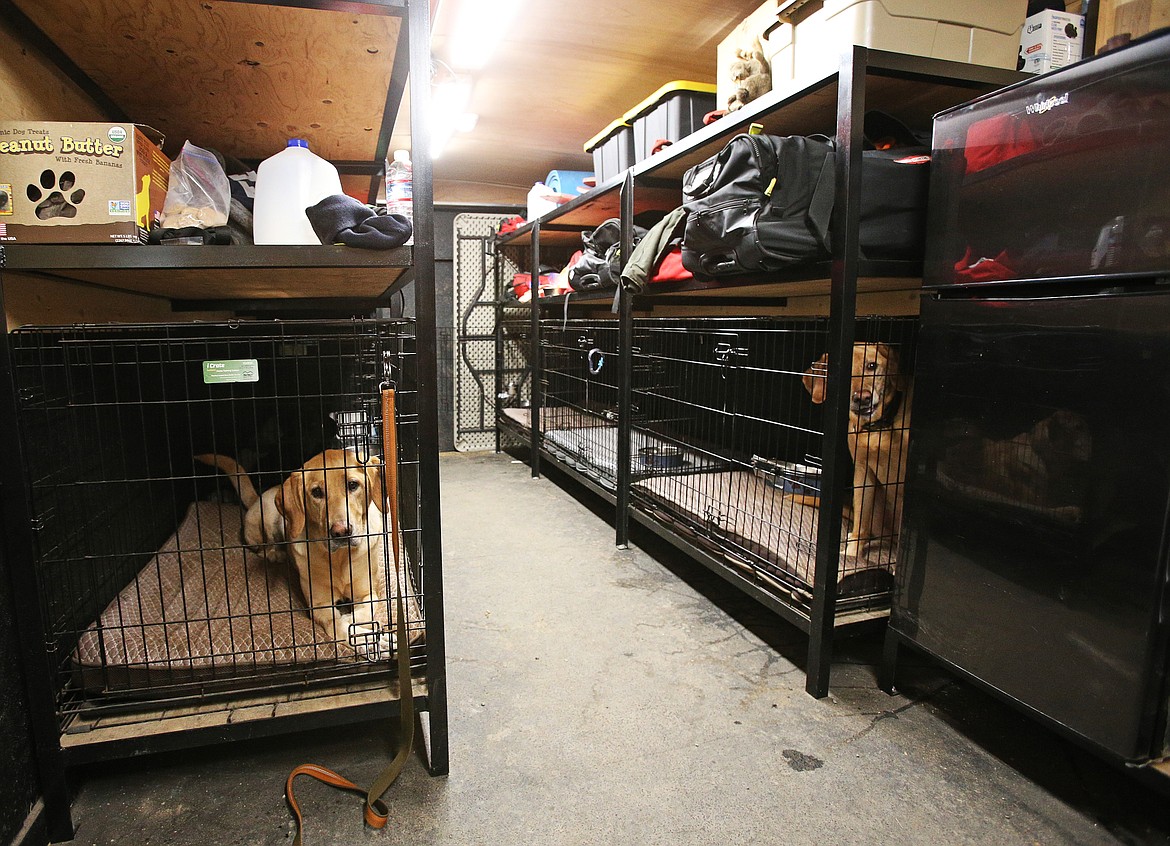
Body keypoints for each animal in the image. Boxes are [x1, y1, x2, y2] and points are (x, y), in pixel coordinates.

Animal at [198, 449, 400, 659]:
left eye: (353, 485)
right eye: (316, 492)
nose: (341, 531)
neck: (339, 558)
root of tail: (260, 496)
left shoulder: (369, 593)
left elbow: (360, 614)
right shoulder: (320, 605)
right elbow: (339, 624)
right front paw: (369, 640)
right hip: (262, 523)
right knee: (263, 547)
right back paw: (276, 553)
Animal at [804, 341, 912, 559]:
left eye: (872, 366)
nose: (862, 398)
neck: (878, 428)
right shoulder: (863, 470)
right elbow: (862, 516)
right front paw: (853, 553)